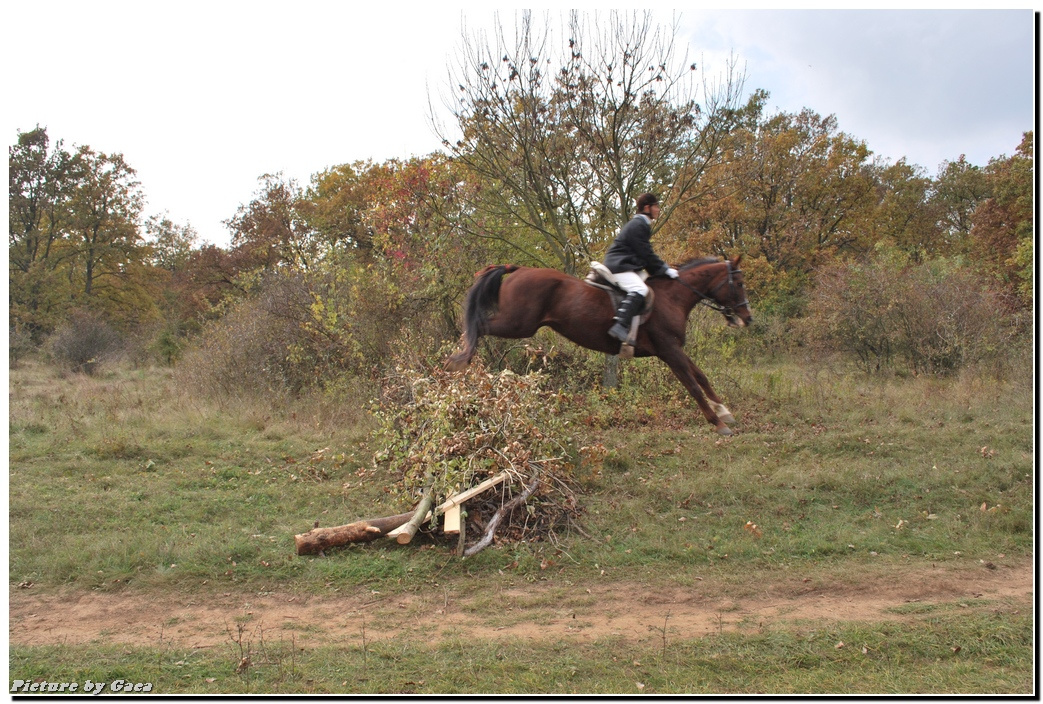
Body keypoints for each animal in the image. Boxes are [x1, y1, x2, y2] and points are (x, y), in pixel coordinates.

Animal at [444, 256, 755, 438]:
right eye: (739, 283)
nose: (747, 318)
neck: (673, 297)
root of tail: (519, 269)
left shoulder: (675, 349)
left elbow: (701, 376)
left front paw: (724, 411)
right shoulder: (669, 351)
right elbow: (691, 385)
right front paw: (717, 423)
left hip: (519, 324)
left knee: (474, 329)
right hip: (518, 324)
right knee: (476, 328)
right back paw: (456, 367)